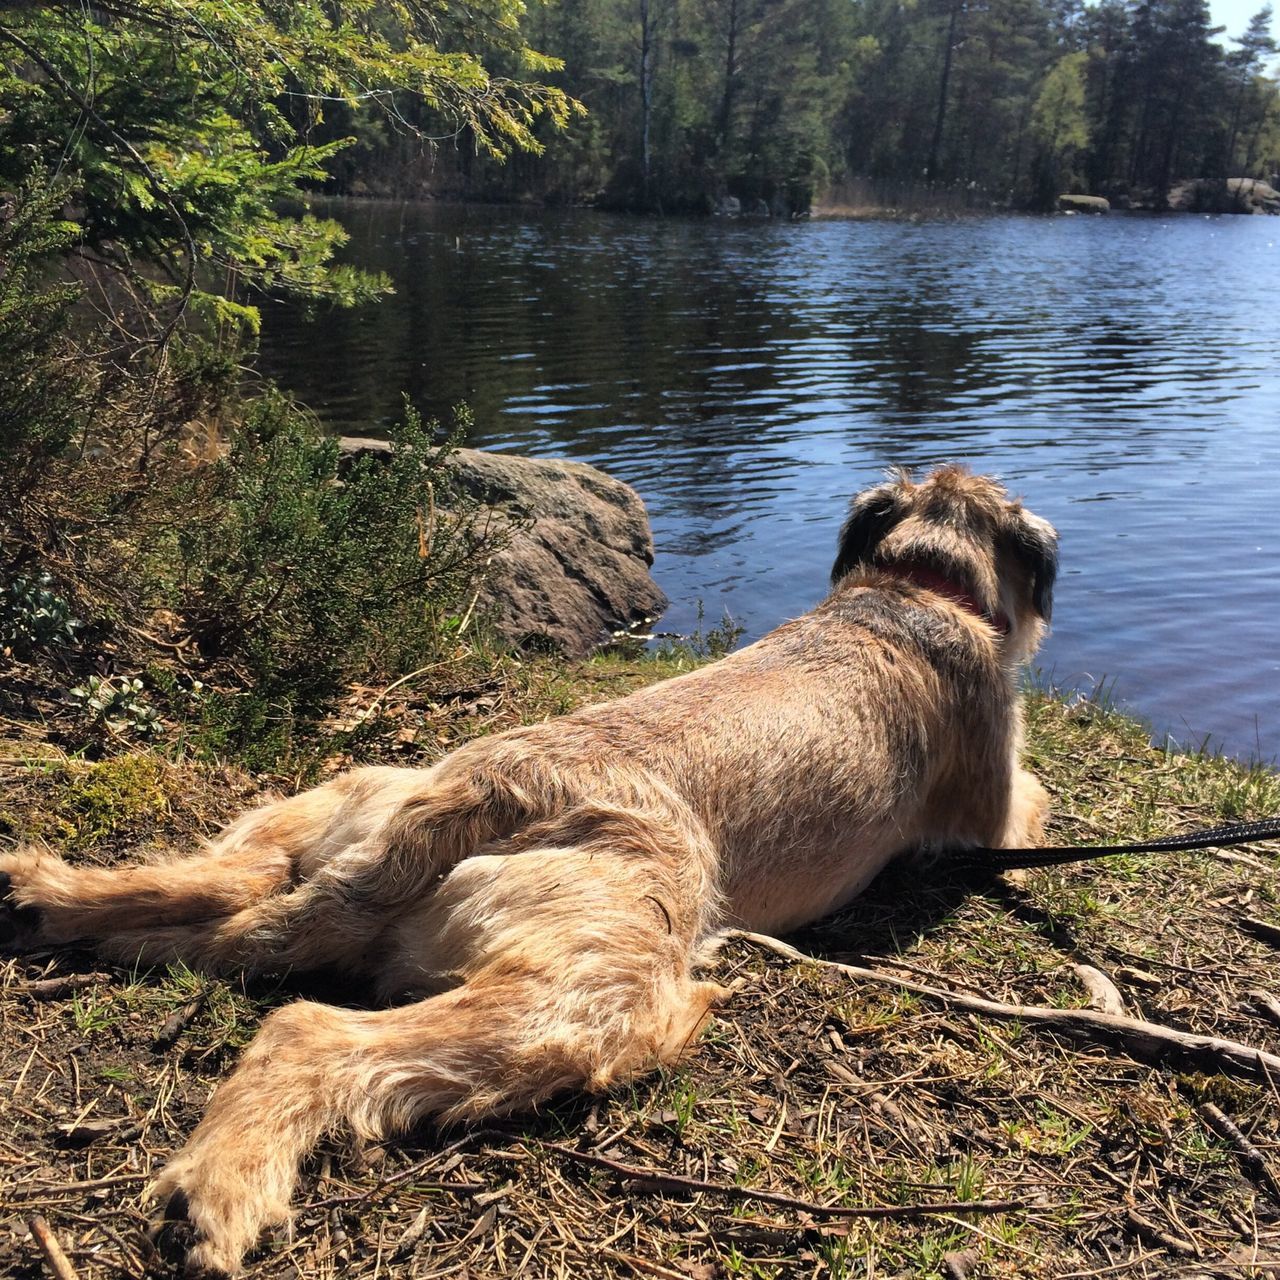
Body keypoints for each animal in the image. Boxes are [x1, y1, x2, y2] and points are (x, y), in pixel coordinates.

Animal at [0, 465, 1059, 1274]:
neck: (912, 589)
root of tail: (473, 800)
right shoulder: (995, 802)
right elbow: (1037, 798)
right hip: (597, 986)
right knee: (308, 1026)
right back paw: (220, 1189)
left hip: (330, 806)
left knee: (233, 887)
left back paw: (49, 895)